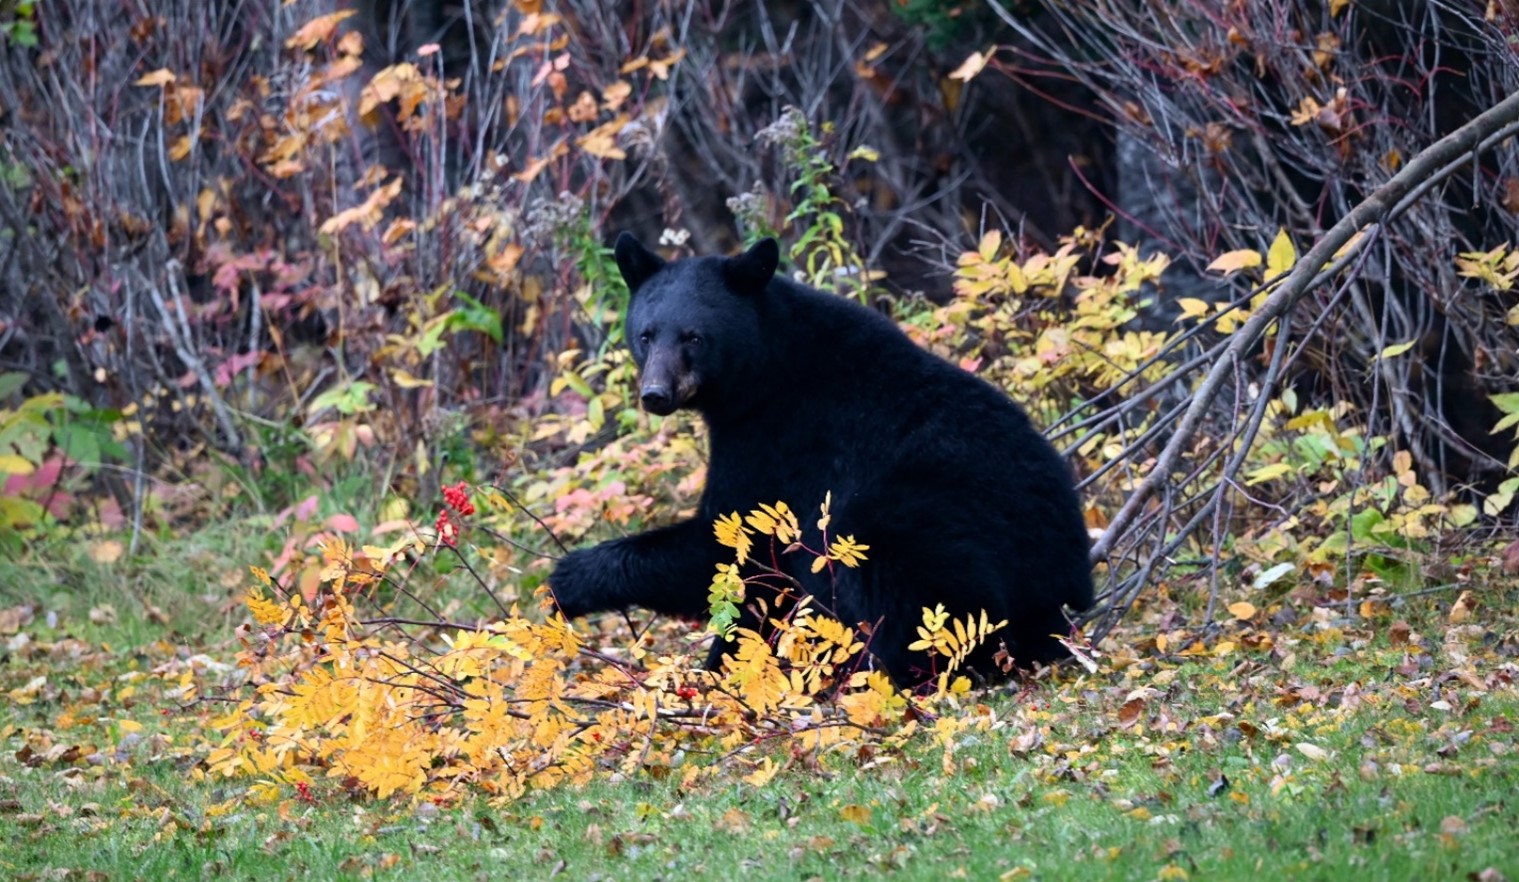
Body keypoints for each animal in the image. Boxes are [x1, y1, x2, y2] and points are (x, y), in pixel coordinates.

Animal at [546, 232, 1093, 680]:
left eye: (694, 337)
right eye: (646, 334)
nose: (656, 393)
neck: (766, 370)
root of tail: (1062, 601)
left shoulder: (776, 439)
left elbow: (730, 544)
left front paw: (570, 579)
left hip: (925, 521)